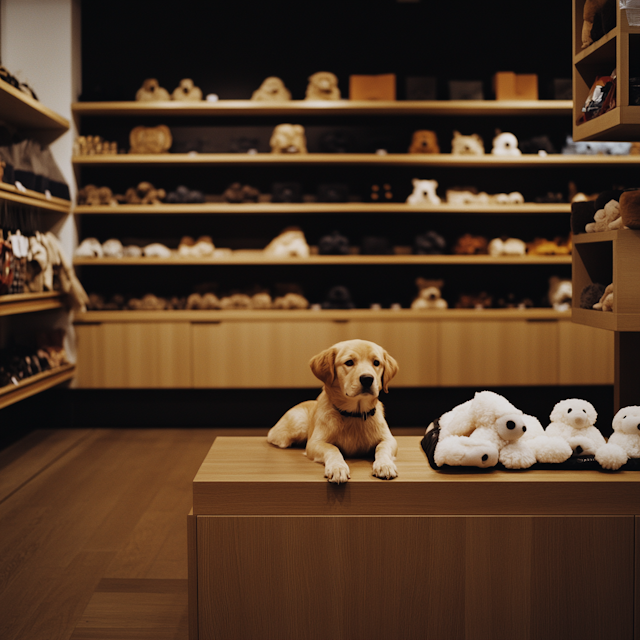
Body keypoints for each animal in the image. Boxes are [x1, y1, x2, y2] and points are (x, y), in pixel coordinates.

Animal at [266, 338, 398, 482]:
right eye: (349, 362)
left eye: (376, 363)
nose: (367, 379)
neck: (354, 414)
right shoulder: (314, 443)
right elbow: (332, 448)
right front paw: (337, 468)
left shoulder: (389, 439)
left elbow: (382, 447)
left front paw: (385, 465)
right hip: (296, 426)